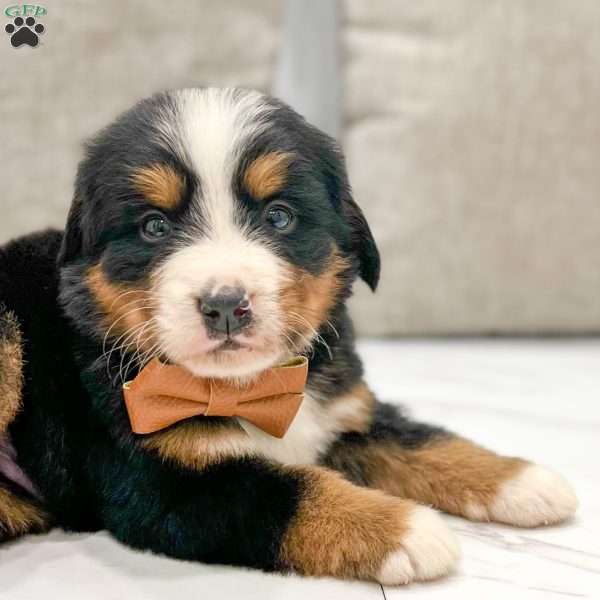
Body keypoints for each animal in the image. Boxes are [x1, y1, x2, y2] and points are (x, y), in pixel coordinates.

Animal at [0, 86, 576, 584]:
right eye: (154, 227)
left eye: (279, 216)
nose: (226, 305)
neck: (251, 389)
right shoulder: (162, 482)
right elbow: (292, 492)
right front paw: (407, 530)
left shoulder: (344, 410)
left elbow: (420, 439)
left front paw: (523, 480)